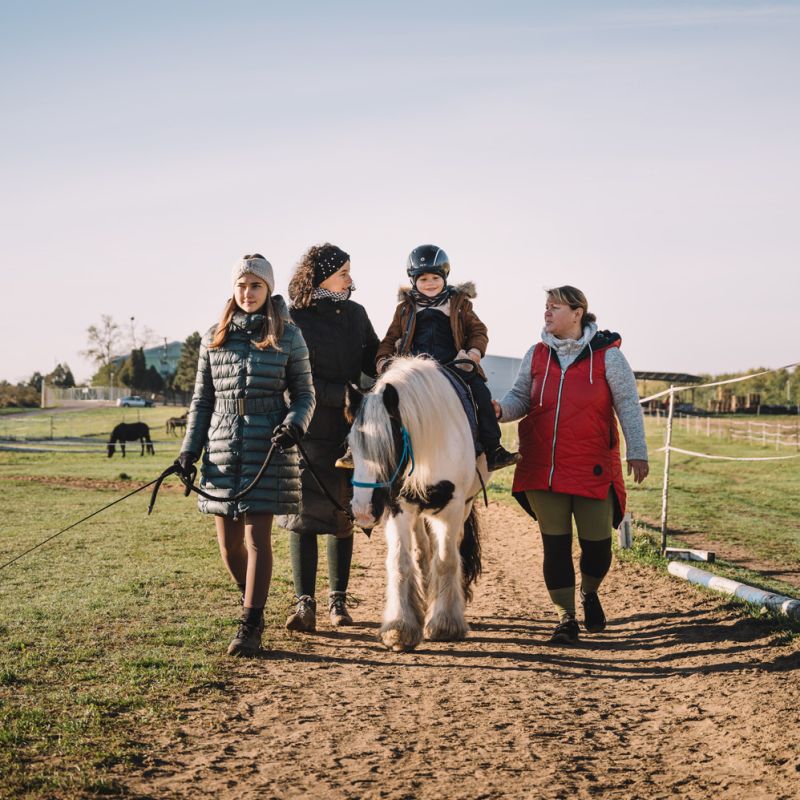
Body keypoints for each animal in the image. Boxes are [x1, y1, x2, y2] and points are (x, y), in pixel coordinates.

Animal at [348, 356, 487, 652]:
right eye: (351, 446)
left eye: (389, 445)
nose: (363, 512)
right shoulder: (397, 506)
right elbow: (401, 561)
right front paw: (400, 627)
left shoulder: (452, 508)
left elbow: (446, 560)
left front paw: (445, 623)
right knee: (422, 550)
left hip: (463, 506)